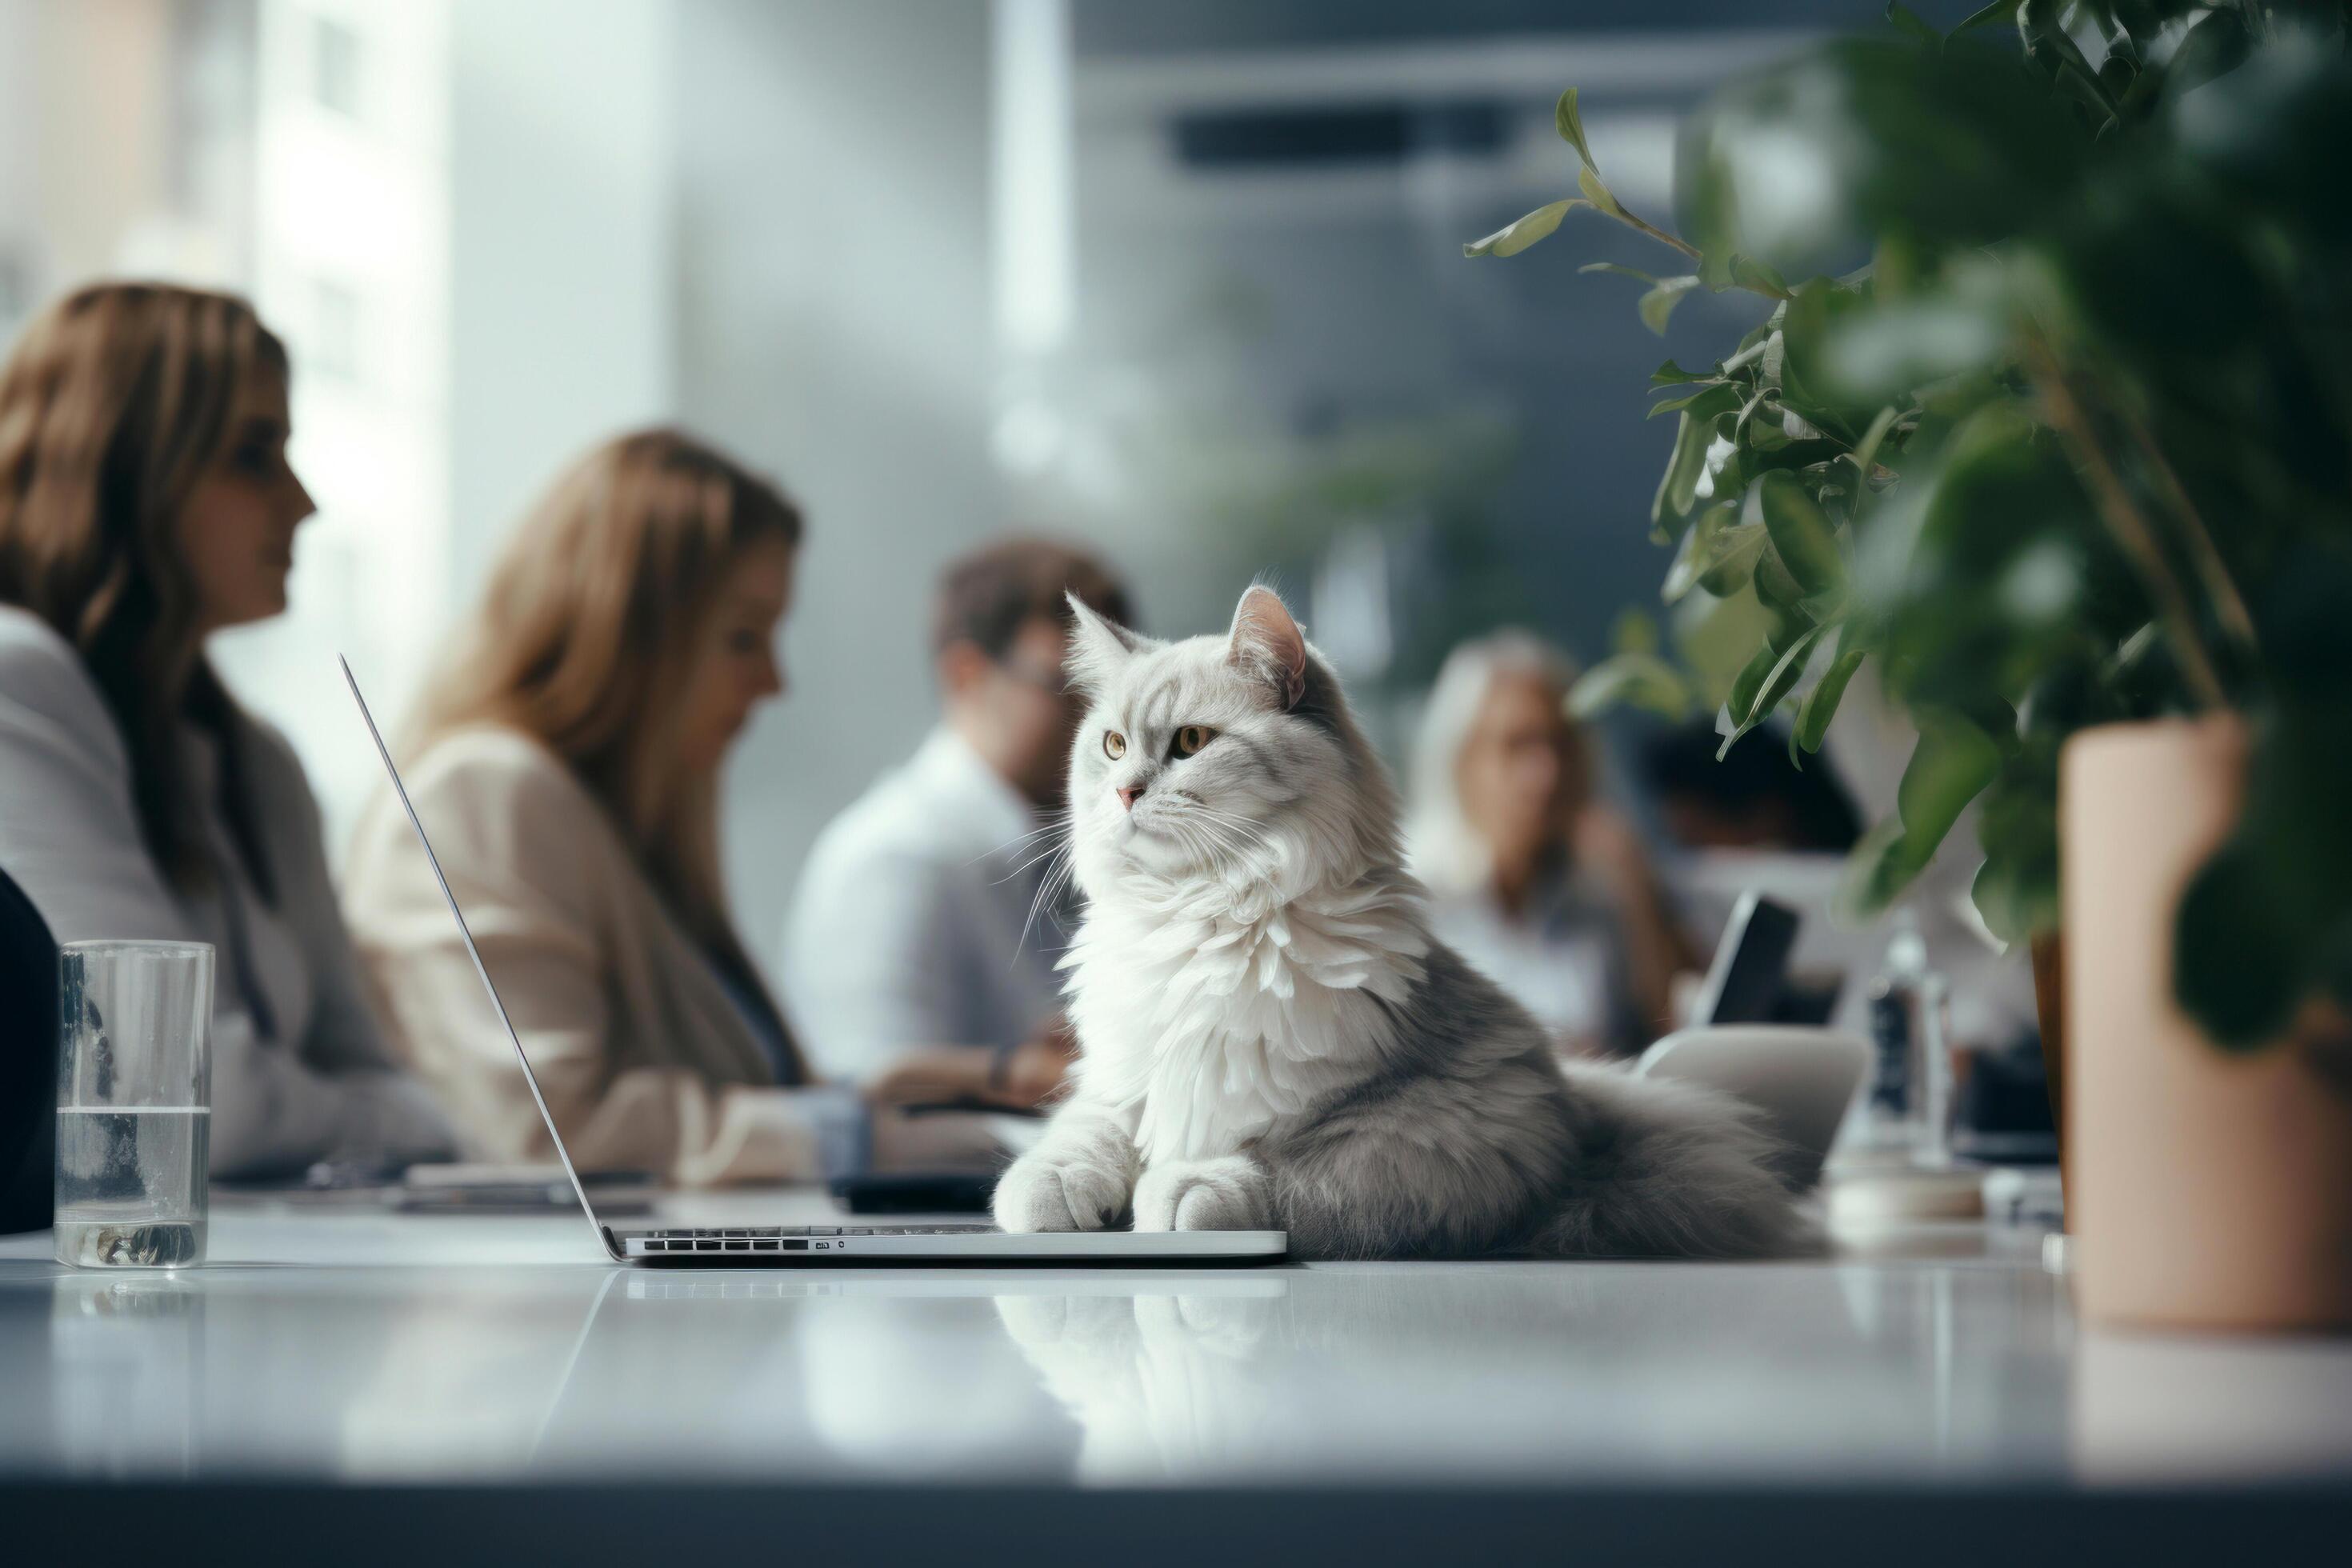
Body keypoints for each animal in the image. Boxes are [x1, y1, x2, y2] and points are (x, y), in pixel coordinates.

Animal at [982, 587, 1806, 1260]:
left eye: (1190, 743)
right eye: (1113, 746)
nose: (1124, 792)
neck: (1201, 912)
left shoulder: (1455, 1127)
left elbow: (1290, 1169)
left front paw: (1180, 1191)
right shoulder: (1120, 1078)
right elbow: (1081, 1133)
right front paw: (1048, 1191)